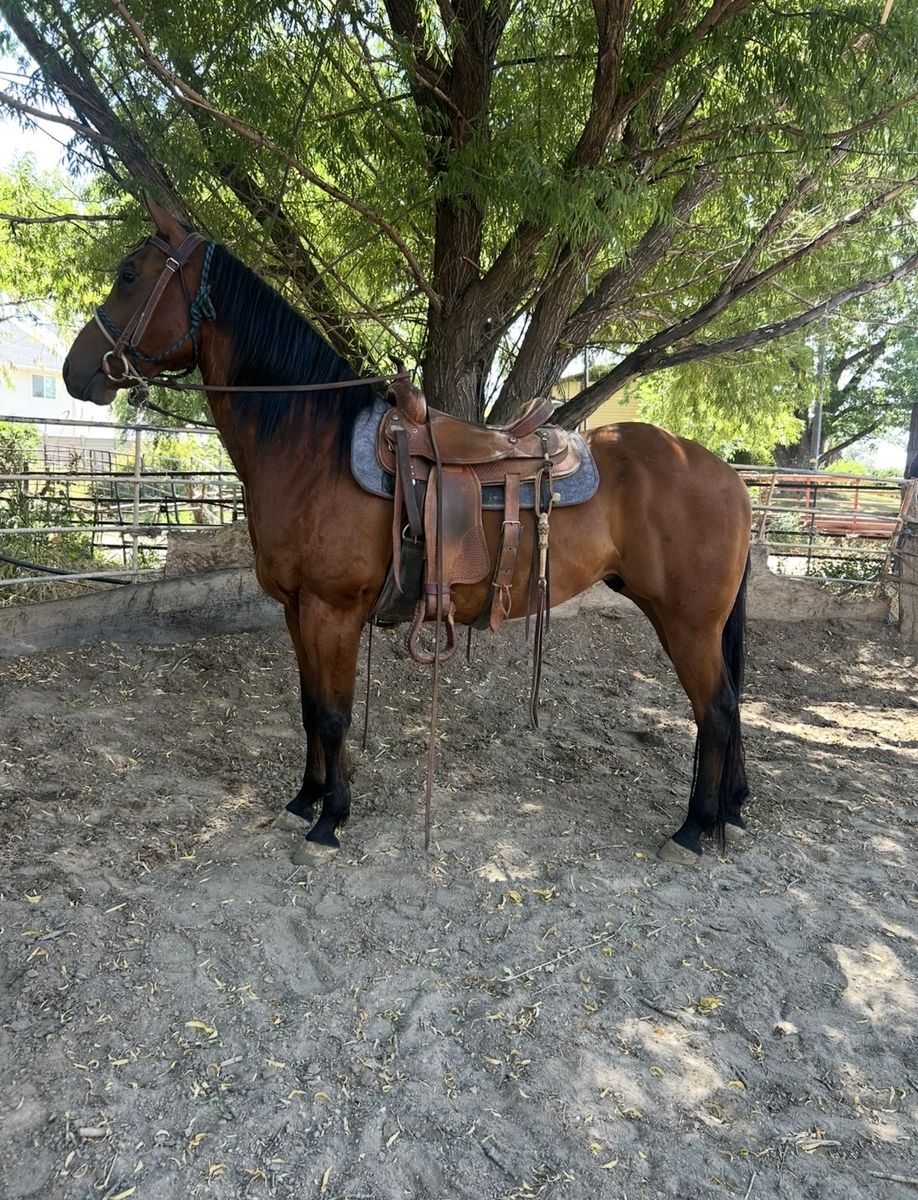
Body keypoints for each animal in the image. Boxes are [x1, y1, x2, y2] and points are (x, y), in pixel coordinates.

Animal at [63, 199, 753, 866]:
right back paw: (724, 813)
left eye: (129, 276)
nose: (74, 371)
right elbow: (309, 709)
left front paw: (330, 821)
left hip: (687, 621)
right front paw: (304, 800)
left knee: (717, 711)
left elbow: (335, 715)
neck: (312, 448)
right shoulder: (295, 610)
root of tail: (725, 473)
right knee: (722, 709)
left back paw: (694, 829)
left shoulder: (333, 610)